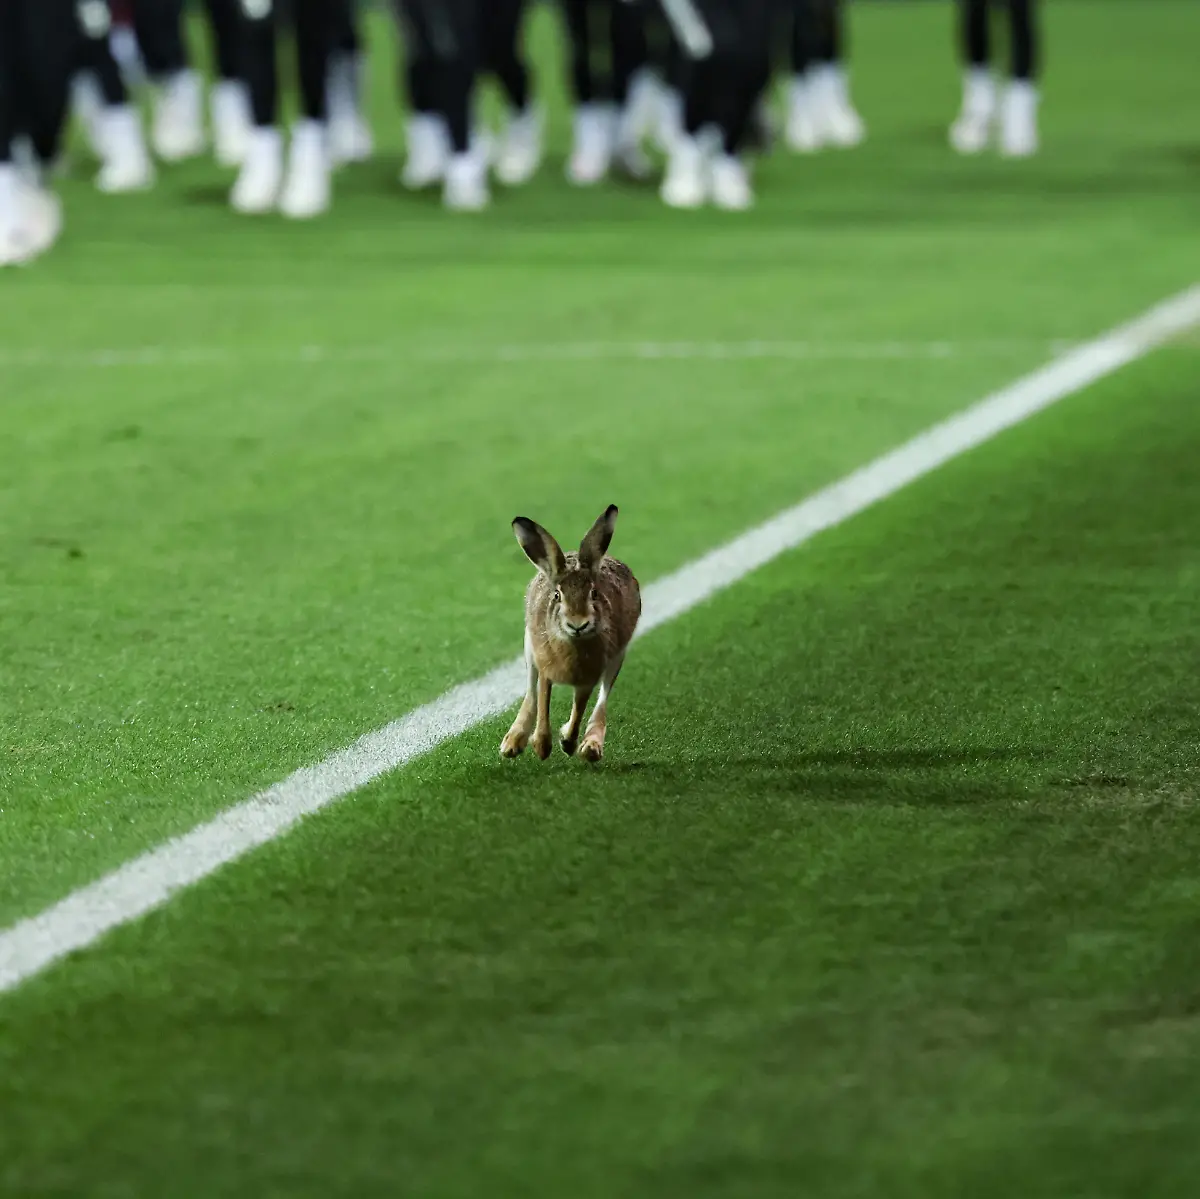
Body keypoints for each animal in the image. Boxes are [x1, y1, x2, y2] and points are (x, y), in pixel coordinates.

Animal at [500, 505, 641, 763]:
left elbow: (579, 710)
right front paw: (541, 746)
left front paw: (567, 742)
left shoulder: (587, 679)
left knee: (602, 700)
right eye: (557, 595)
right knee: (530, 691)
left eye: (594, 593)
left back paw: (591, 747)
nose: (578, 624)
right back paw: (513, 742)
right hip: (529, 647)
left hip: (617, 658)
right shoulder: (545, 667)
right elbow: (542, 701)